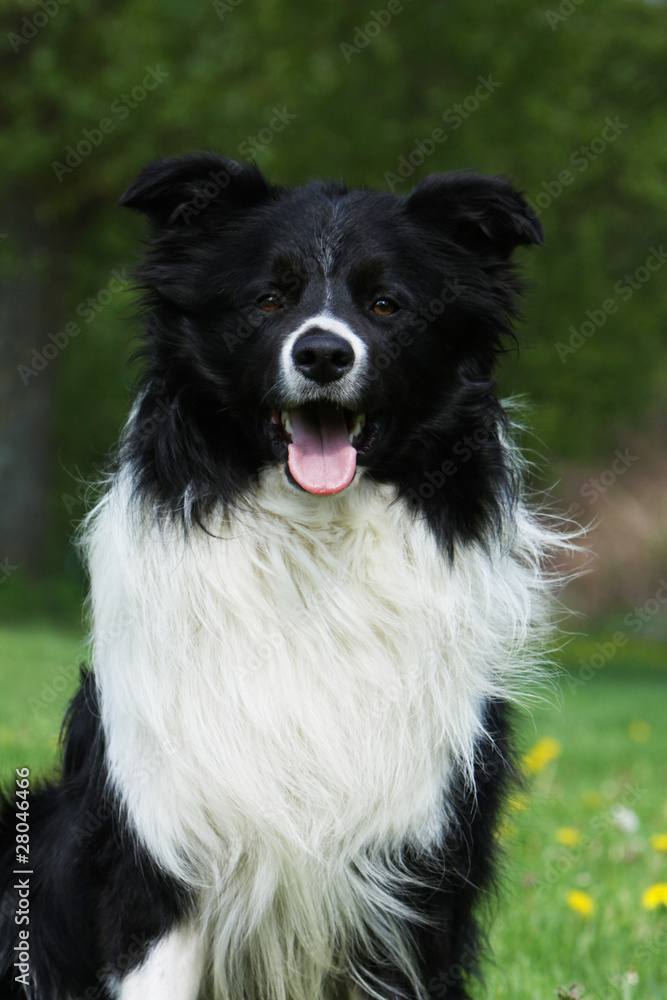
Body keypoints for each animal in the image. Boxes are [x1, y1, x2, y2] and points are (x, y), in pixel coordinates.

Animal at [0, 154, 568, 992]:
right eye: (268, 298)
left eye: (385, 304)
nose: (322, 354)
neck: (312, 548)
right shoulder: (158, 850)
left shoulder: (411, 872)